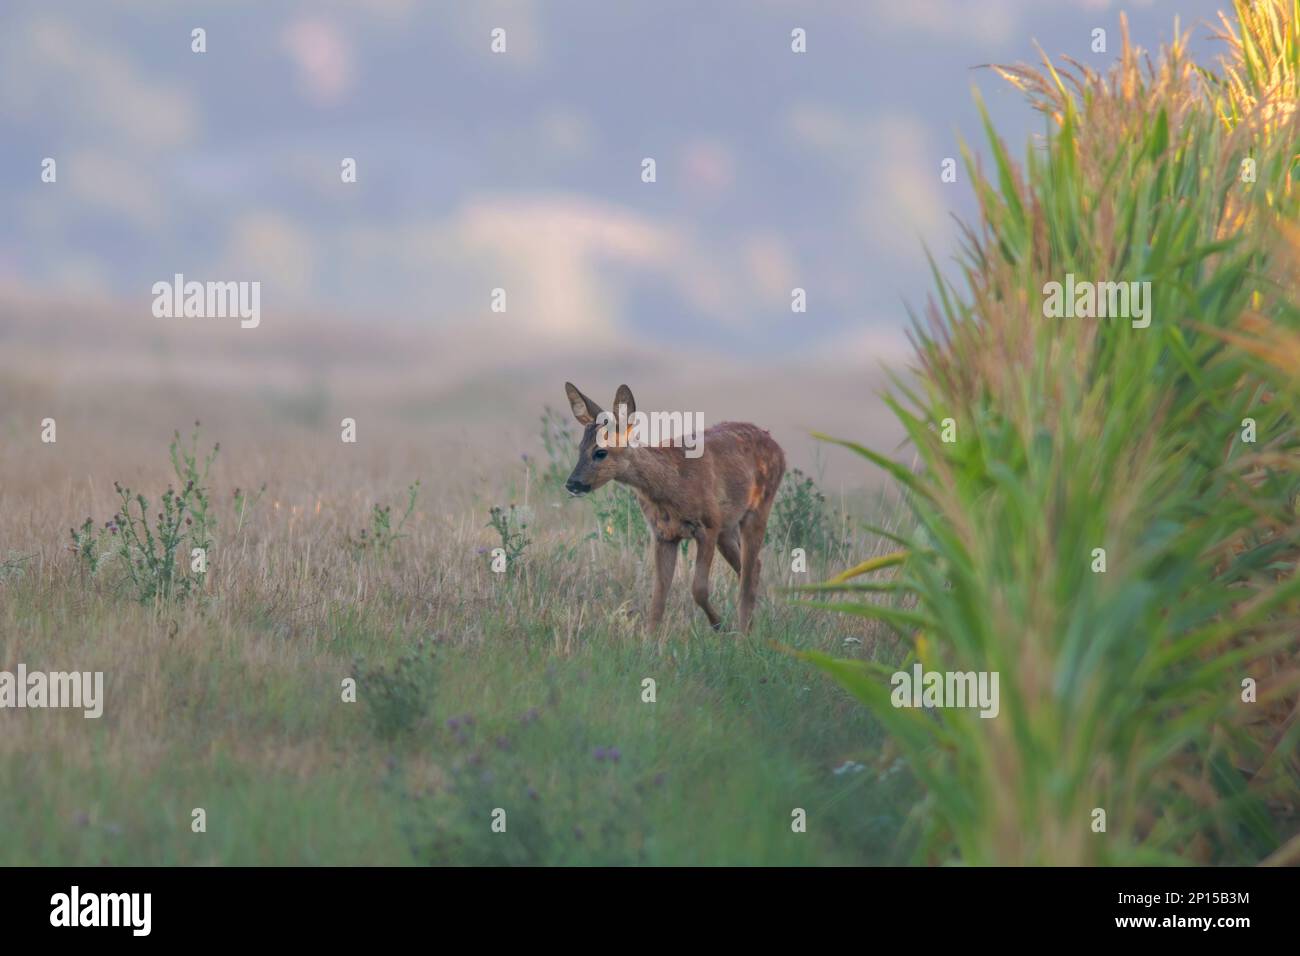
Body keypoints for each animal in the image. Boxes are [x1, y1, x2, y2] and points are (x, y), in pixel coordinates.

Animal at [559, 382, 780, 634]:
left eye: (600, 451)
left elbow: (698, 590)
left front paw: (720, 625)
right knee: (751, 567)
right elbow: (658, 598)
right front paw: (650, 640)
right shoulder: (663, 534)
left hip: (758, 508)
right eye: (579, 449)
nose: (572, 483)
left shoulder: (708, 525)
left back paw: (744, 633)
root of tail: (778, 448)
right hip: (728, 527)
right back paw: (750, 627)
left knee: (749, 570)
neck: (672, 484)